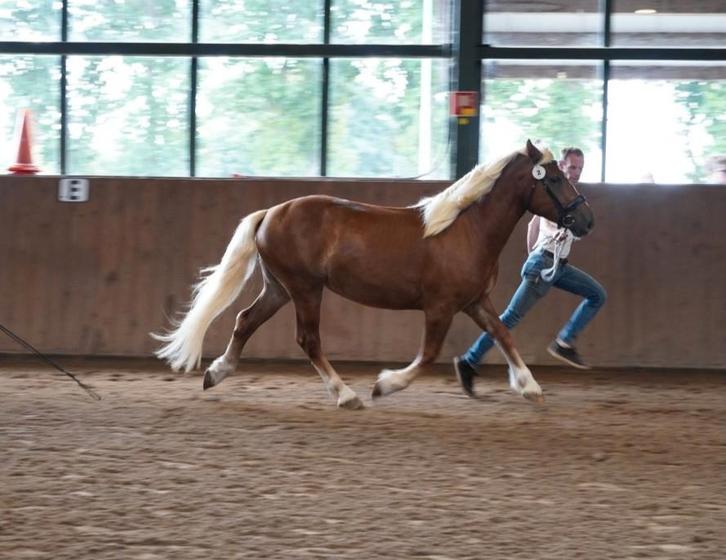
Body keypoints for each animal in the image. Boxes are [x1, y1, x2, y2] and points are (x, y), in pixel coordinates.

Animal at [153, 140, 593, 409]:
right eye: (555, 178)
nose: (586, 220)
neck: (466, 229)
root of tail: (271, 213)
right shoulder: (440, 307)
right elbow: (428, 354)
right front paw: (385, 385)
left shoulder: (473, 301)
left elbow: (503, 333)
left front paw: (530, 387)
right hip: (305, 289)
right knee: (308, 339)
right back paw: (346, 395)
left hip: (279, 288)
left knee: (245, 321)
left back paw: (216, 373)